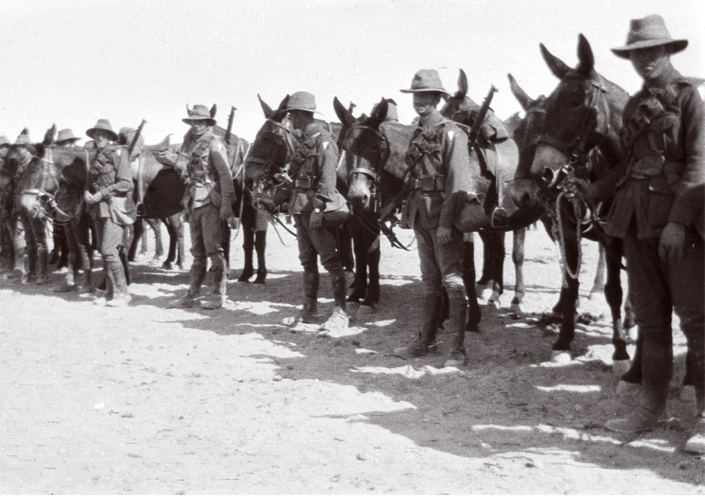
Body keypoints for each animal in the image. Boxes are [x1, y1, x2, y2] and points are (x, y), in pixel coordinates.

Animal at [506, 33, 632, 366]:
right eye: (518, 135)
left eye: (575, 102)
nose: (541, 174)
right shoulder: (562, 224)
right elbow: (570, 275)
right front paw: (563, 336)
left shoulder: (616, 237)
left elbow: (615, 289)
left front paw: (620, 349)